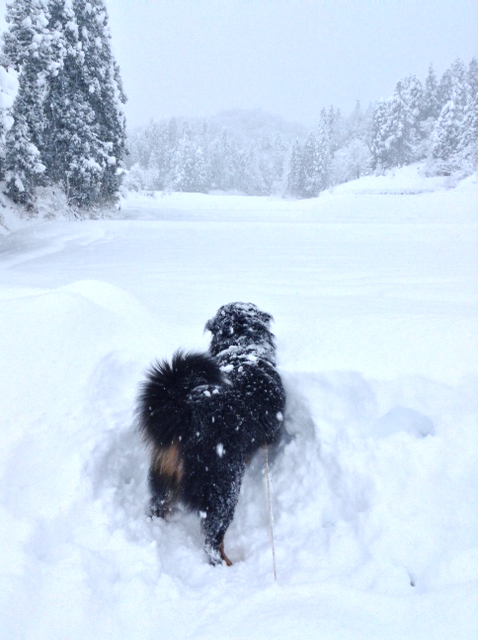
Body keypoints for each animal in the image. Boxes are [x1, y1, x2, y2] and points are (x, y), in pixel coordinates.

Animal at [135, 302, 284, 564]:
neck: (242, 349)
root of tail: (188, 415)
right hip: (223, 489)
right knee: (213, 540)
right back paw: (226, 563)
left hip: (162, 480)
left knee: (158, 508)